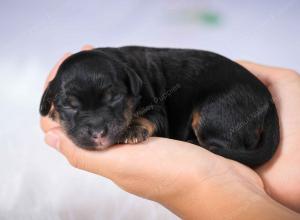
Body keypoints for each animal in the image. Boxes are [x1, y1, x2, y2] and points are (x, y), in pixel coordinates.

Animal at [39, 46, 278, 167]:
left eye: (114, 97)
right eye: (70, 106)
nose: (98, 133)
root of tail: (269, 100)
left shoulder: (156, 109)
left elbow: (148, 117)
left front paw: (132, 130)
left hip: (215, 112)